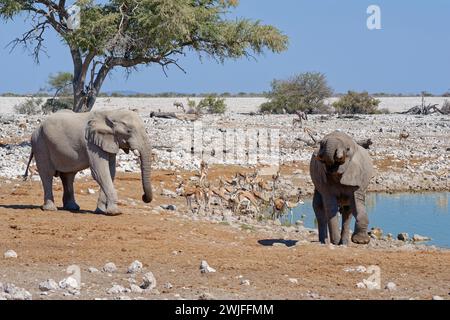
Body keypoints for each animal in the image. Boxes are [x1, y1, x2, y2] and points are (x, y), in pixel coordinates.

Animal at [25, 109, 155, 216]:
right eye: (128, 131)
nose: (144, 197)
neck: (111, 113)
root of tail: (36, 129)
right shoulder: (91, 143)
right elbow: (100, 172)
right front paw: (115, 212)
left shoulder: (108, 142)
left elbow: (110, 172)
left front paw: (101, 211)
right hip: (40, 144)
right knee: (47, 174)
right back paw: (50, 209)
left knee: (68, 176)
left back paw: (72, 207)